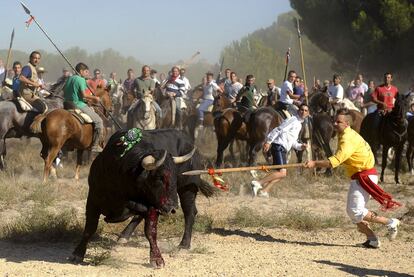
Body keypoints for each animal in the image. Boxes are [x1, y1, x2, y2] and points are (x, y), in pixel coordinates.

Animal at [70, 128, 217, 266]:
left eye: (175, 177)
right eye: (159, 178)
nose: (172, 207)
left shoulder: (153, 205)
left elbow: (150, 231)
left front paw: (157, 259)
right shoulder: (93, 199)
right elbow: (90, 229)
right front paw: (77, 253)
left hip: (187, 190)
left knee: (190, 212)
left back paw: (184, 244)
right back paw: (124, 236)